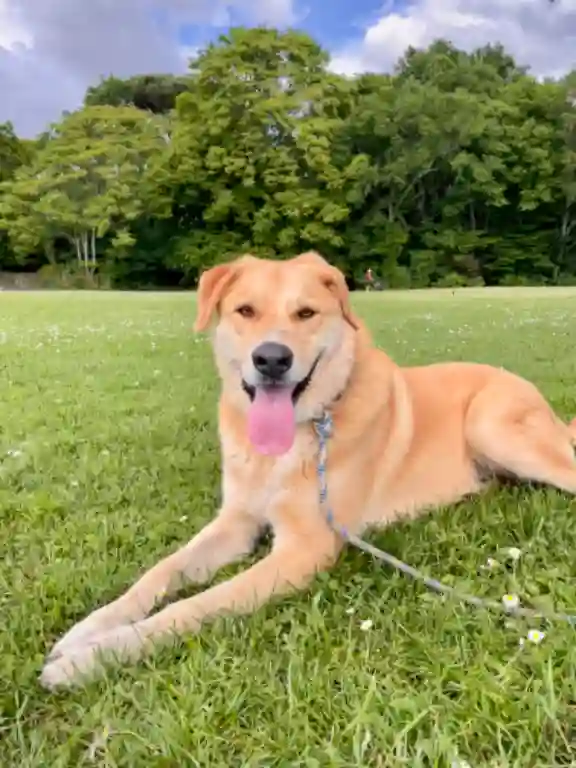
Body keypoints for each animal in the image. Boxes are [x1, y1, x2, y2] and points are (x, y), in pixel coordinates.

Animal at [40, 252, 576, 688]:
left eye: (305, 313)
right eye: (245, 311)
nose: (271, 359)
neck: (297, 437)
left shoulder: (304, 550)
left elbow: (193, 605)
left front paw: (93, 660)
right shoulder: (235, 523)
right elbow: (159, 574)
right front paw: (87, 631)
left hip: (493, 425)